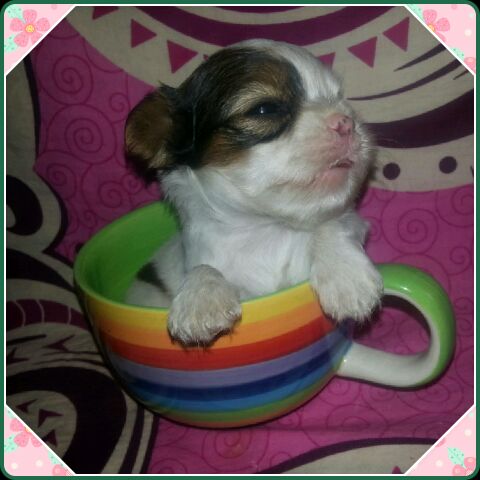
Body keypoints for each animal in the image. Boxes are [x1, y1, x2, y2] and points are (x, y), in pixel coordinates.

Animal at [125, 39, 383, 346]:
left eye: (339, 97)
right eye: (265, 109)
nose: (346, 121)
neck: (269, 228)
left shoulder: (353, 221)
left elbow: (331, 223)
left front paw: (346, 277)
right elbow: (203, 267)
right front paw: (200, 300)